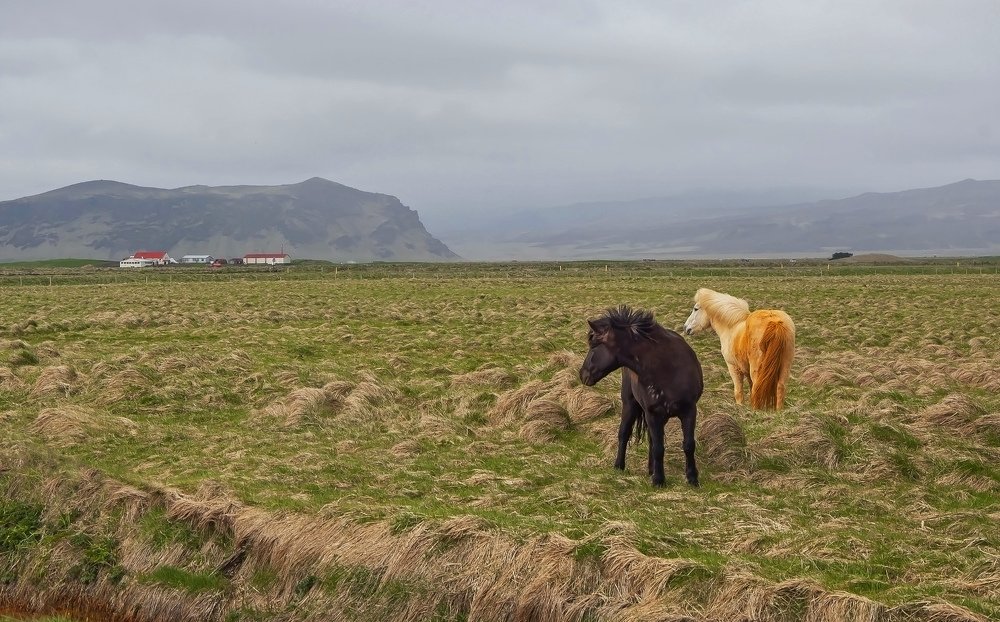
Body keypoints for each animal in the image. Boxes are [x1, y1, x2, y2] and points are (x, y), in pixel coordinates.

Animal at [579, 305, 704, 487]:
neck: (667, 369)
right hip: (630, 405)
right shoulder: (653, 414)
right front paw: (659, 480)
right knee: (624, 433)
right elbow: (659, 448)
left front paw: (692, 478)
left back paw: (651, 469)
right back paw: (620, 465)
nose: (582, 374)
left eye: (594, 346)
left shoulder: (689, 411)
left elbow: (688, 444)